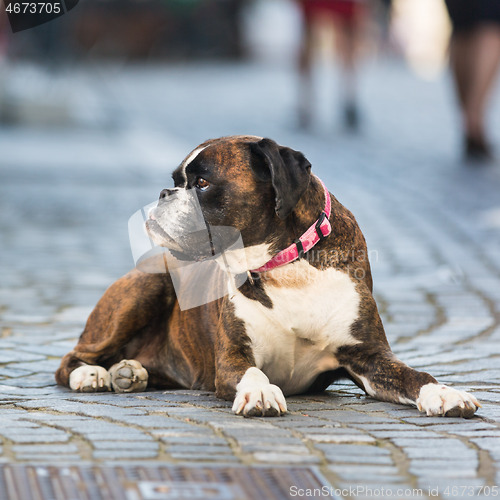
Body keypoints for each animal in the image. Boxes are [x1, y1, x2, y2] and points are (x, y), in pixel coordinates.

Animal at [56, 137, 482, 418]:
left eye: (203, 183)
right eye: (177, 181)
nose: (164, 194)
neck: (286, 266)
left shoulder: (370, 358)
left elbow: (413, 374)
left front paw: (444, 393)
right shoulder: (232, 358)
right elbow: (253, 371)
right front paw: (260, 392)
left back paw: (131, 371)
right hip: (146, 287)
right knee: (70, 360)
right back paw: (93, 374)